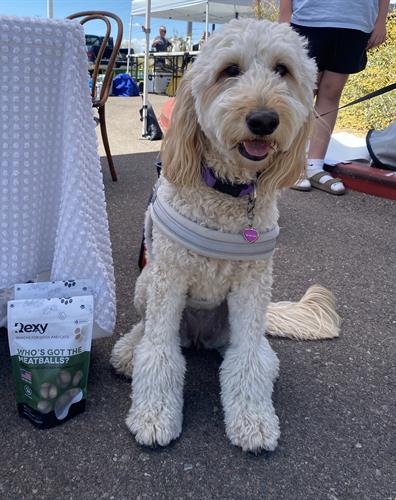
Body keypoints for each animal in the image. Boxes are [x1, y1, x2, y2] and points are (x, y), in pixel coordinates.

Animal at [110, 18, 338, 454]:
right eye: (230, 70)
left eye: (282, 70)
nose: (264, 120)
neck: (228, 191)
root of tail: (199, 338)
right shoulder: (169, 279)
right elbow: (159, 351)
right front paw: (154, 416)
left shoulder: (252, 287)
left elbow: (246, 360)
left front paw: (253, 421)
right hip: (146, 282)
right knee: (146, 330)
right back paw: (129, 350)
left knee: (257, 352)